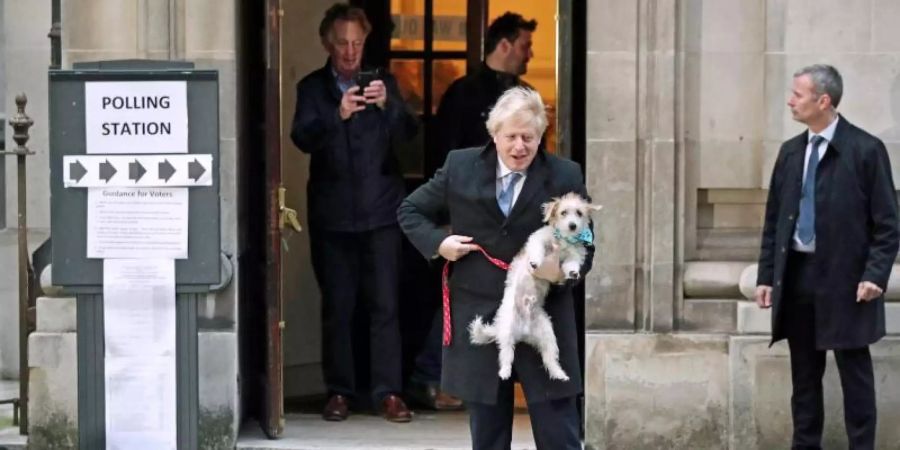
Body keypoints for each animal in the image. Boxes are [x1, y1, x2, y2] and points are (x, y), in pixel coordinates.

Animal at [468, 192, 600, 382]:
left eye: (579, 213)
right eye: (563, 212)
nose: (573, 225)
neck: (564, 240)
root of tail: (524, 331)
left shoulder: (573, 255)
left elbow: (572, 263)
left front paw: (573, 273)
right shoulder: (538, 239)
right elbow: (537, 250)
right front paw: (536, 262)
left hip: (547, 335)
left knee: (549, 359)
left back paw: (559, 374)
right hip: (507, 331)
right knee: (506, 355)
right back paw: (505, 371)